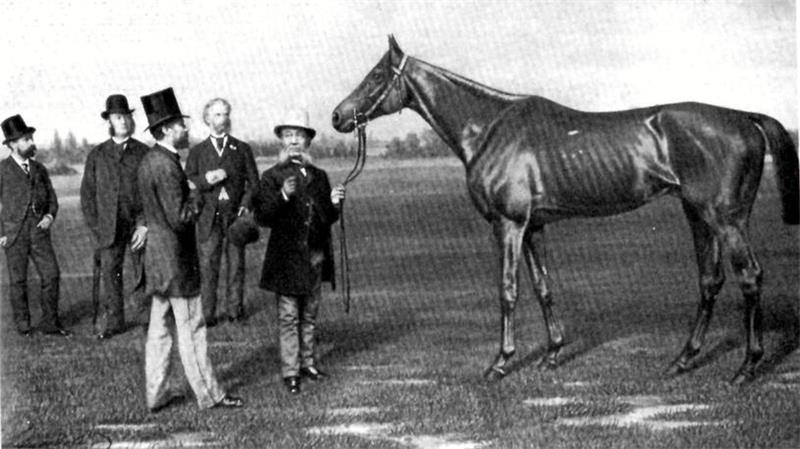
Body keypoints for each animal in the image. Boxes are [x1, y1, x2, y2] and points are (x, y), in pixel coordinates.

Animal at [331, 36, 799, 384]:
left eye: (376, 75)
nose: (337, 116)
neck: (489, 129)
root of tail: (744, 118)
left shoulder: (508, 225)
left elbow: (508, 290)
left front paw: (500, 363)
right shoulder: (533, 226)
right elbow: (543, 288)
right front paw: (552, 355)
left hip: (726, 220)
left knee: (750, 277)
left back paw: (747, 367)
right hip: (698, 215)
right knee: (710, 281)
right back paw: (682, 360)